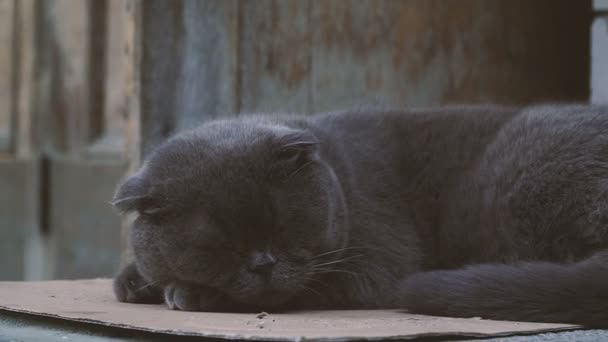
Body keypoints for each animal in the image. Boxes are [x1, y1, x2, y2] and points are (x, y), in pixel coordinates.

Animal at [111, 104, 608, 326]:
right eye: (221, 246)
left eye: (283, 224)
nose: (264, 263)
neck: (342, 174)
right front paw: (137, 280)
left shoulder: (376, 265)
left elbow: (305, 286)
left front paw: (190, 293)